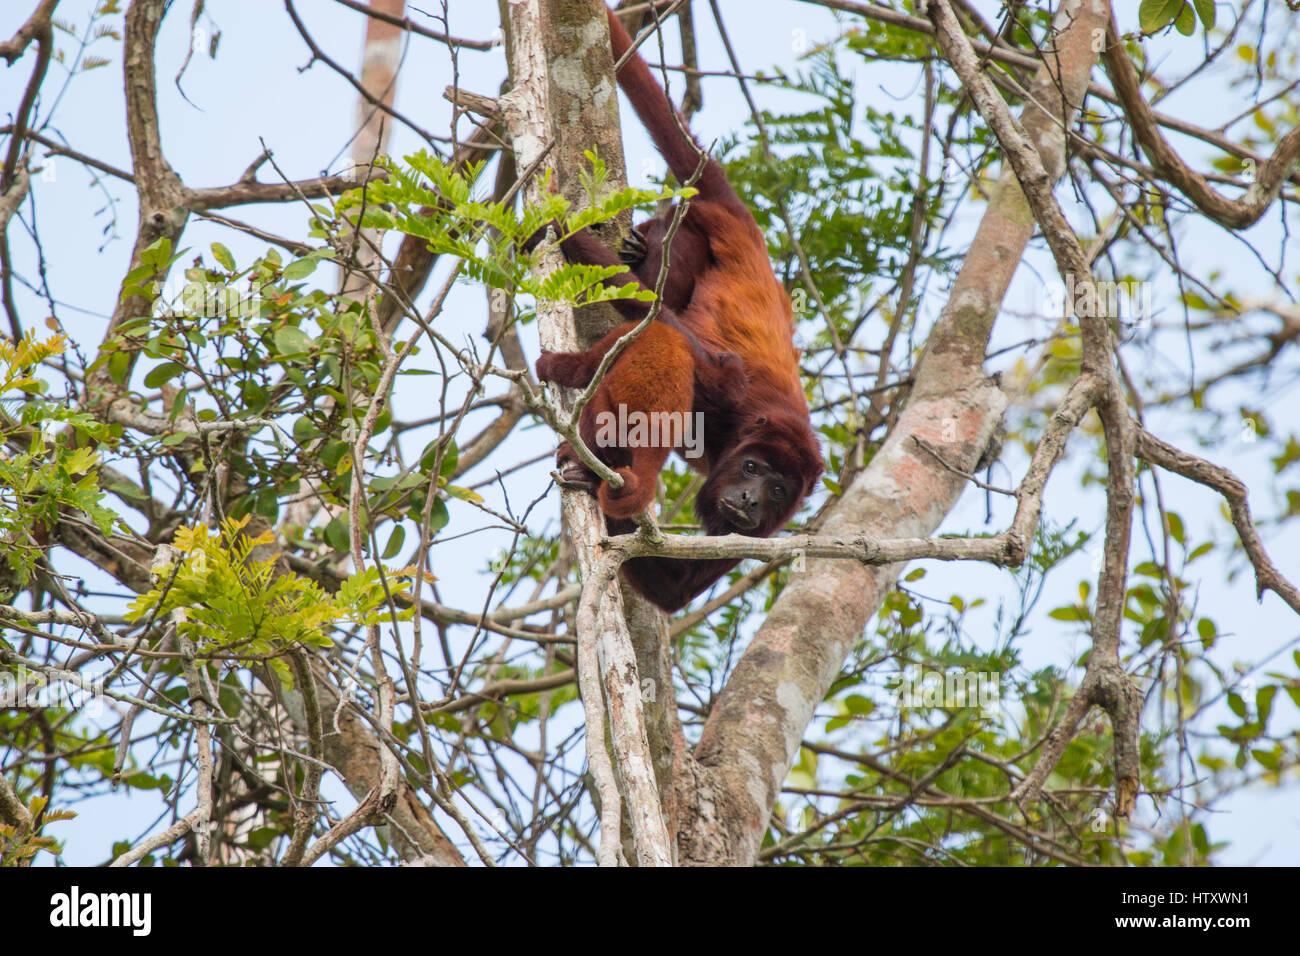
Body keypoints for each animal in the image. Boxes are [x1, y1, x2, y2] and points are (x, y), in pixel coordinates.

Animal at [535, 5, 821, 613]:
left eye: (777, 490)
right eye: (753, 468)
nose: (749, 499)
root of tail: (747, 227)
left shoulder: (773, 529)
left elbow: (674, 588)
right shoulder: (734, 396)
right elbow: (691, 354)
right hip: (699, 224)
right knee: (658, 310)